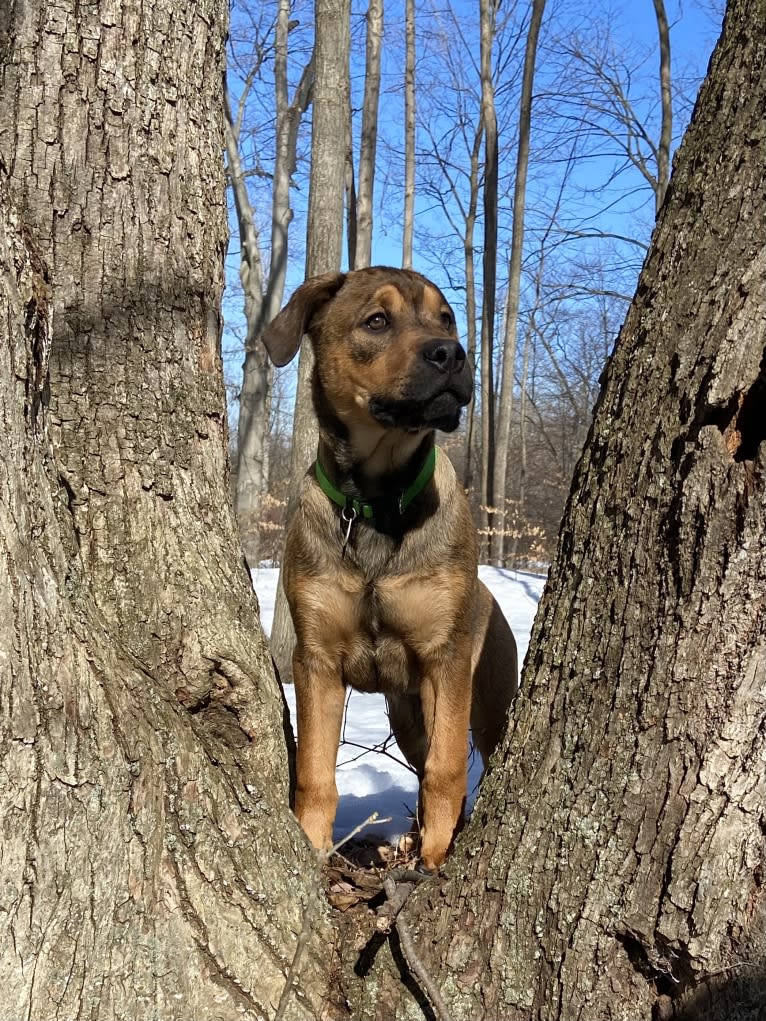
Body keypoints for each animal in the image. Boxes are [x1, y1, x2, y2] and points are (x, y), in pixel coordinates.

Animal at [265, 265, 522, 869]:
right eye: (377, 321)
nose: (452, 354)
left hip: (486, 701)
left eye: (446, 318)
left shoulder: (444, 659)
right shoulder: (315, 659)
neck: (377, 504)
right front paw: (314, 846)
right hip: (406, 716)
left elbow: (446, 771)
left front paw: (436, 859)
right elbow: (315, 773)